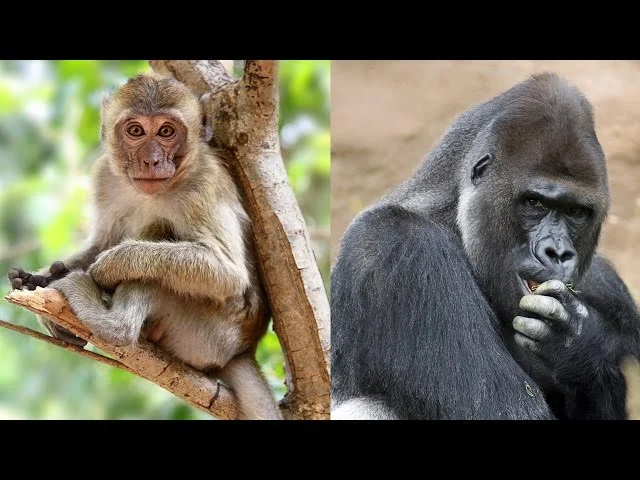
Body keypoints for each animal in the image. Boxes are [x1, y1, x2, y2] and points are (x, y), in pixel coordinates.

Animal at [8, 73, 282, 420]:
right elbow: (102, 240)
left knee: (156, 257)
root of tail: (243, 349)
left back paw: (106, 316)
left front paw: (110, 266)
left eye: (166, 131)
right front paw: (40, 277)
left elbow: (227, 274)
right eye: (135, 131)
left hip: (209, 333)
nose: (151, 160)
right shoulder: (105, 177)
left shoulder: (203, 186)